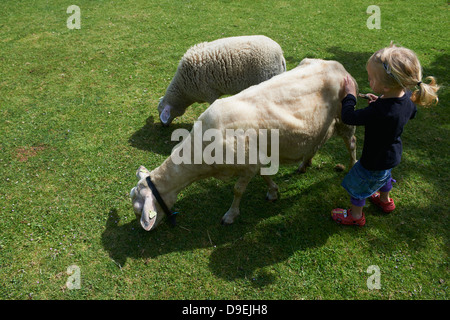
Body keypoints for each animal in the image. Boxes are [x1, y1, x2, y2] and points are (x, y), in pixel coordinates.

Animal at [132, 58, 356, 231]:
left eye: (138, 210)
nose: (145, 231)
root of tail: (337, 66)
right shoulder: (255, 157)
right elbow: (264, 175)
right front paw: (273, 192)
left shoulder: (247, 164)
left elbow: (237, 190)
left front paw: (230, 215)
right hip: (322, 124)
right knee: (317, 142)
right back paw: (304, 164)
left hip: (344, 118)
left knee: (351, 143)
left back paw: (352, 166)